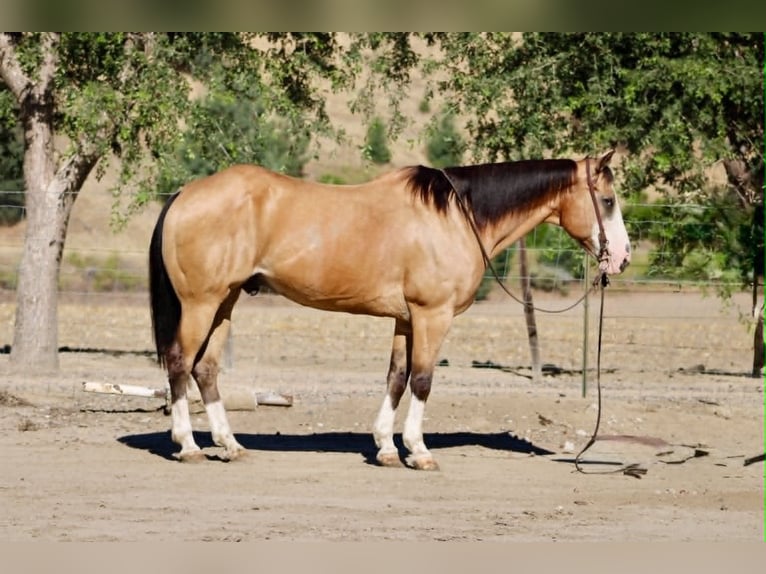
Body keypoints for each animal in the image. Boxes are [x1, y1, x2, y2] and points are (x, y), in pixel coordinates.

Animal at [149, 150, 631, 469]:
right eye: (607, 201)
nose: (623, 258)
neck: (455, 217)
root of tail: (185, 194)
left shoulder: (405, 319)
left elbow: (397, 378)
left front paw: (385, 447)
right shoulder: (432, 315)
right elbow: (422, 380)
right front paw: (418, 450)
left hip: (225, 301)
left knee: (206, 369)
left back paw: (229, 445)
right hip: (202, 303)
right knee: (179, 363)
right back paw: (188, 446)